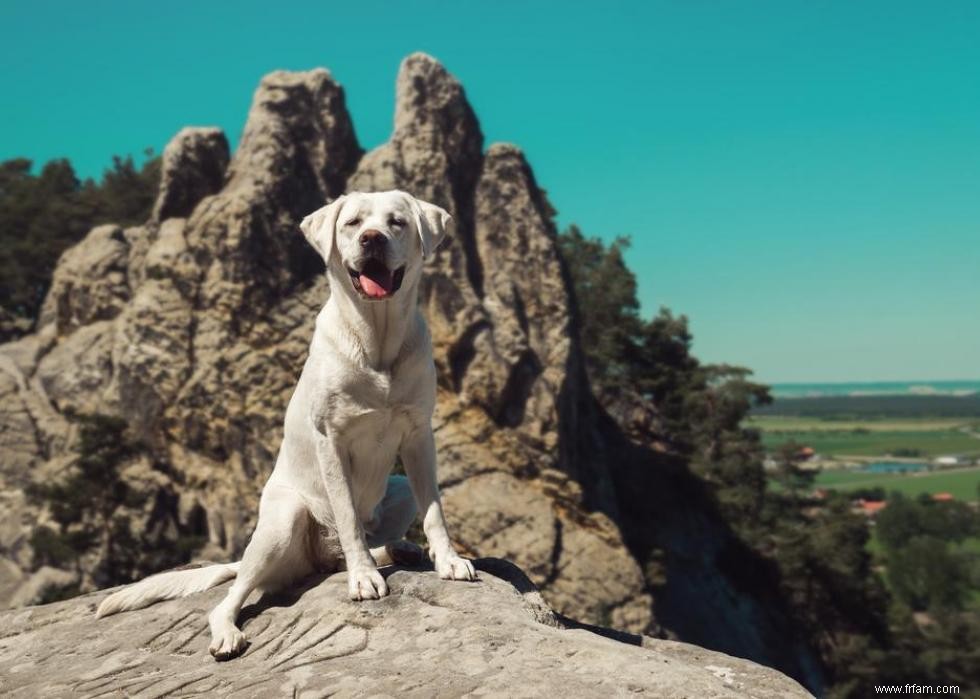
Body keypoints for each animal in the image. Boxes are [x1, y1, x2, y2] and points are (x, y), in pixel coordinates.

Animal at [98, 189, 478, 660]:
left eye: (397, 222)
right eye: (353, 223)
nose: (372, 239)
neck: (376, 339)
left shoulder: (418, 436)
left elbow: (434, 512)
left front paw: (448, 560)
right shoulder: (331, 441)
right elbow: (347, 515)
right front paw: (363, 577)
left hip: (399, 489)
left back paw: (396, 549)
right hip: (284, 520)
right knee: (231, 597)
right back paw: (229, 632)